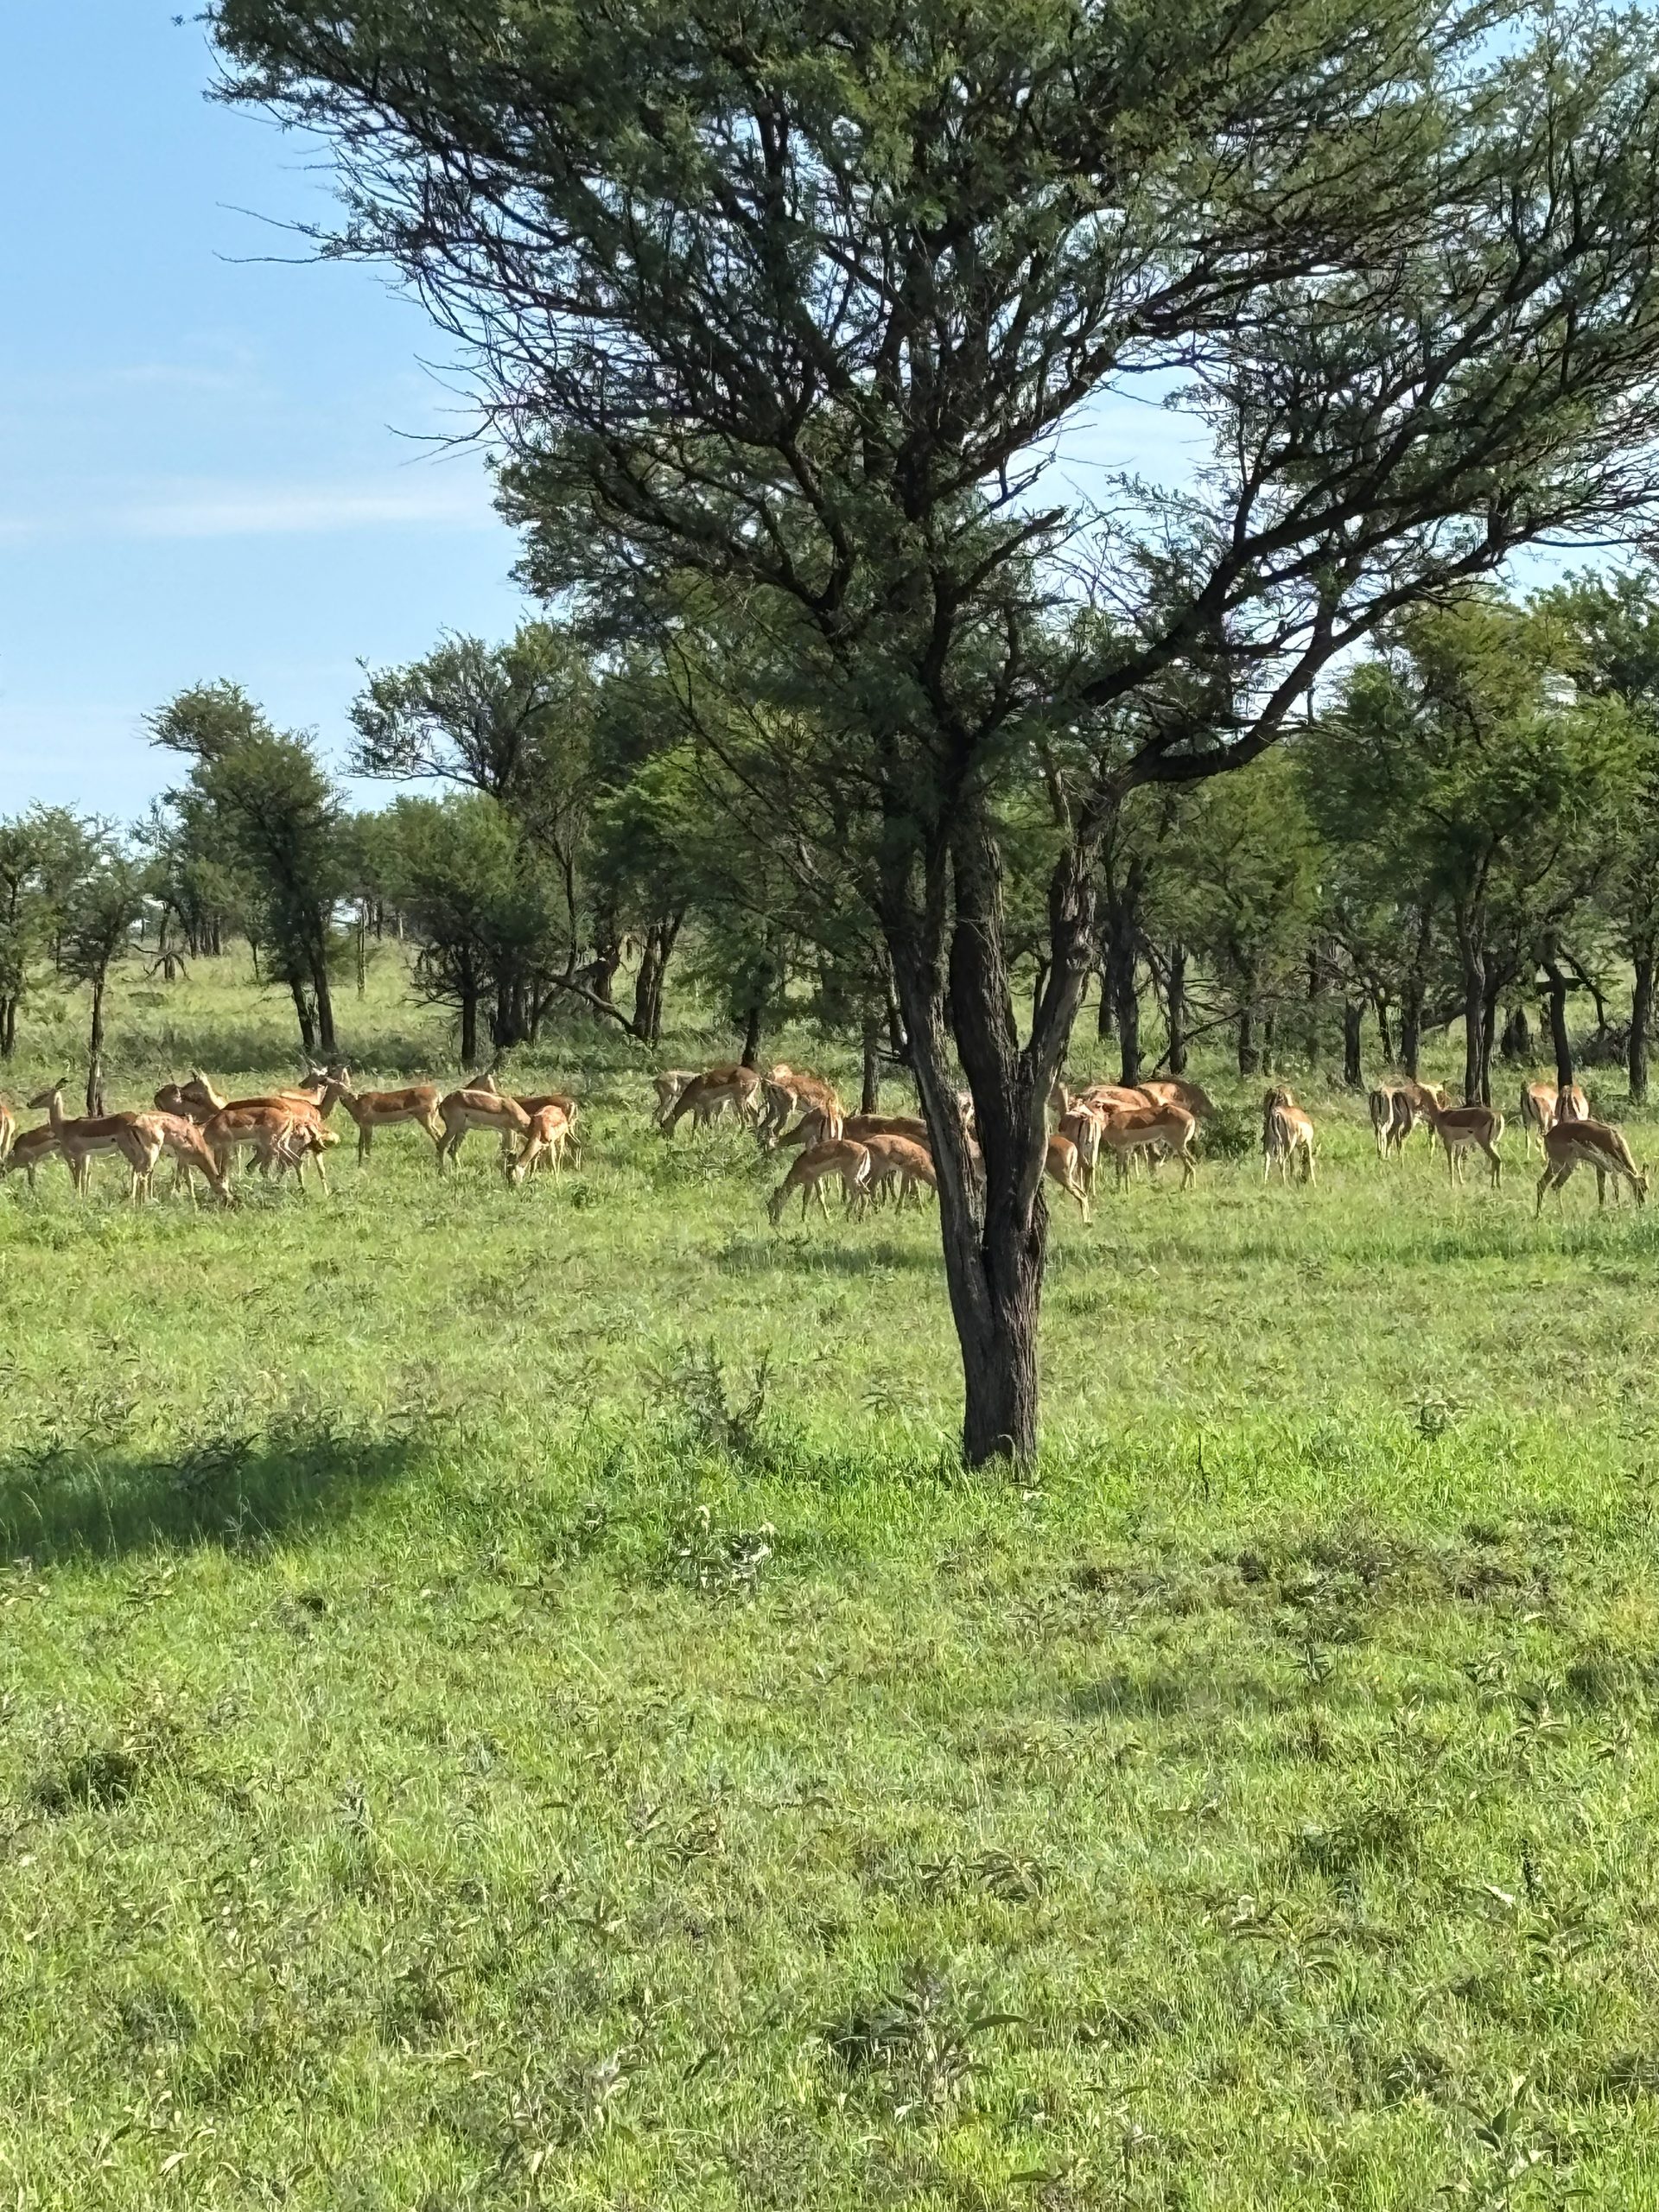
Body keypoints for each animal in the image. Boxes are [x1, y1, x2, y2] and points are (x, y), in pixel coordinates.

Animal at [1535, 1116, 1648, 1213]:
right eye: (1639, 1187)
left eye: (1646, 1188)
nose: (1642, 1203)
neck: (1614, 1140)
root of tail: (1547, 1135)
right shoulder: (1602, 1167)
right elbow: (1604, 1191)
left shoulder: (1609, 1170)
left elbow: (1611, 1190)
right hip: (1558, 1163)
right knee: (1546, 1184)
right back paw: (1541, 1214)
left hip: (1568, 1165)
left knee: (1554, 1185)